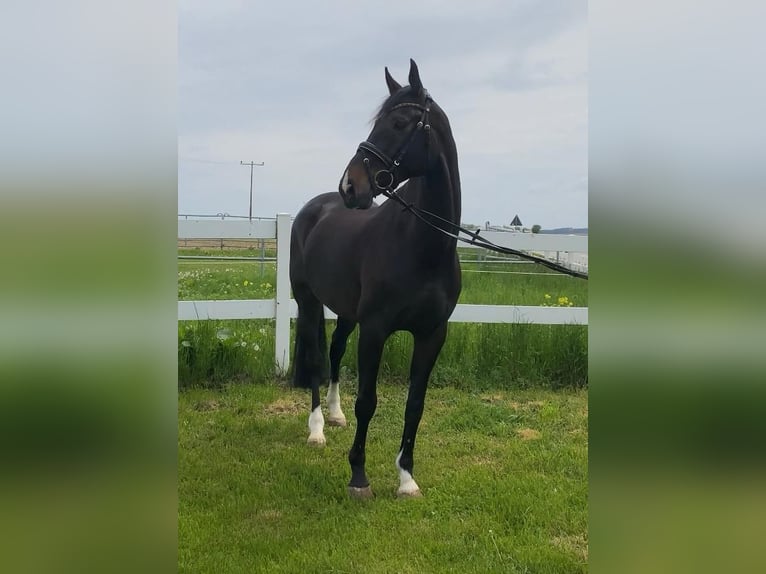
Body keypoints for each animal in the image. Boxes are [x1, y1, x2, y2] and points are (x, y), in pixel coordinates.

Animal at [290, 59, 462, 500]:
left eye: (399, 122)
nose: (350, 186)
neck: (423, 246)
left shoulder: (432, 334)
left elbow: (415, 405)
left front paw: (406, 478)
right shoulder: (375, 329)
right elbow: (368, 401)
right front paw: (358, 476)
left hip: (346, 312)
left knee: (334, 352)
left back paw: (334, 415)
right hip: (308, 301)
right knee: (315, 360)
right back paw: (316, 430)